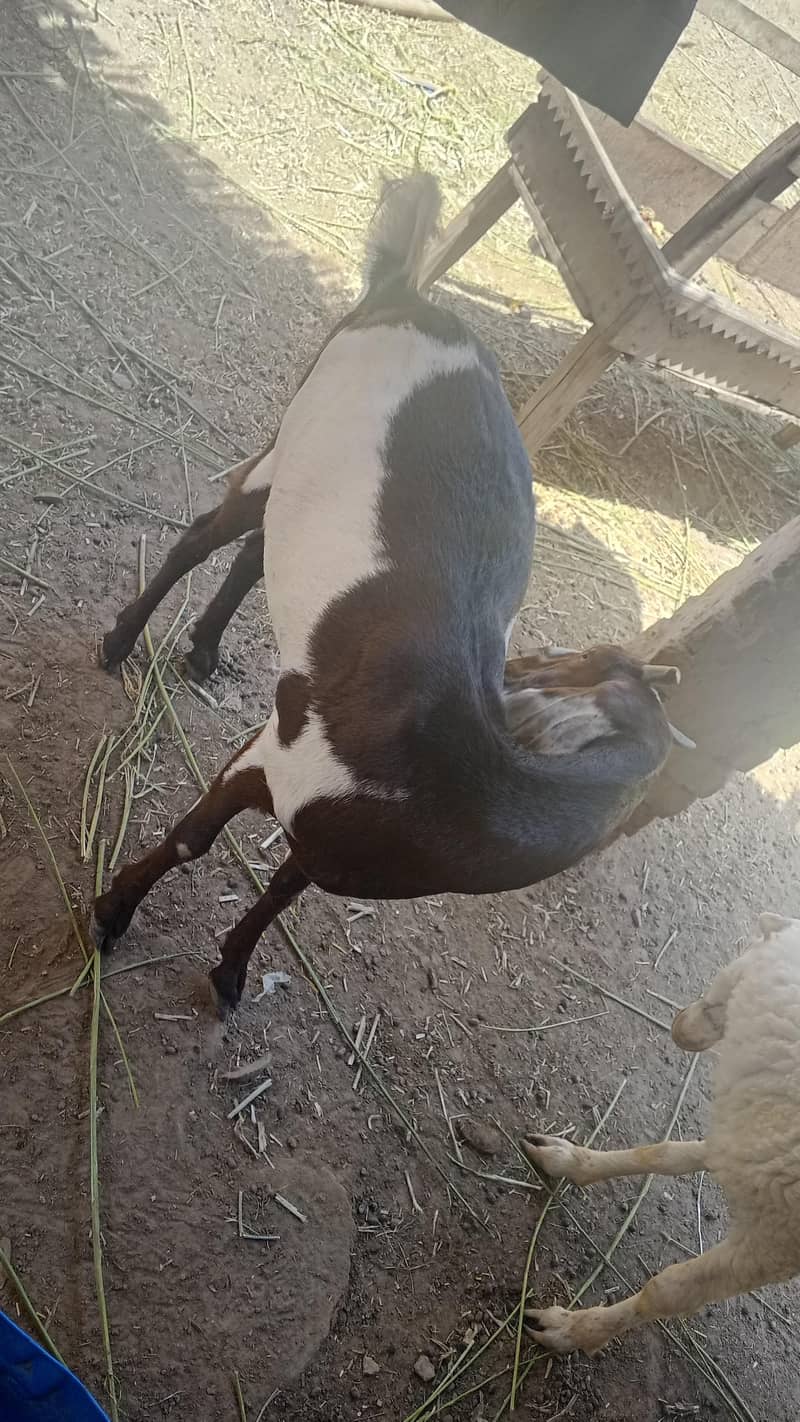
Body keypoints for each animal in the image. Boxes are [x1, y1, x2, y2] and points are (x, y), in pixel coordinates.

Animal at [93, 172, 682, 1016]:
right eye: (574, 658)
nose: (515, 667)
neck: (441, 777)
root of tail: (412, 296)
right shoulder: (271, 759)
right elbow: (190, 839)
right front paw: (112, 913)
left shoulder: (327, 843)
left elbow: (281, 894)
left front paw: (233, 971)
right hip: (294, 429)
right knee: (205, 535)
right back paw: (118, 643)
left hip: (308, 487)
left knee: (256, 549)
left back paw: (203, 650)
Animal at [523, 912, 800, 1355]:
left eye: (745, 950)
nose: (680, 1026)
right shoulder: (750, 1144)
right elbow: (665, 1154)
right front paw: (568, 1159)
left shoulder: (779, 1244)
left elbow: (669, 1291)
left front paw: (573, 1329)